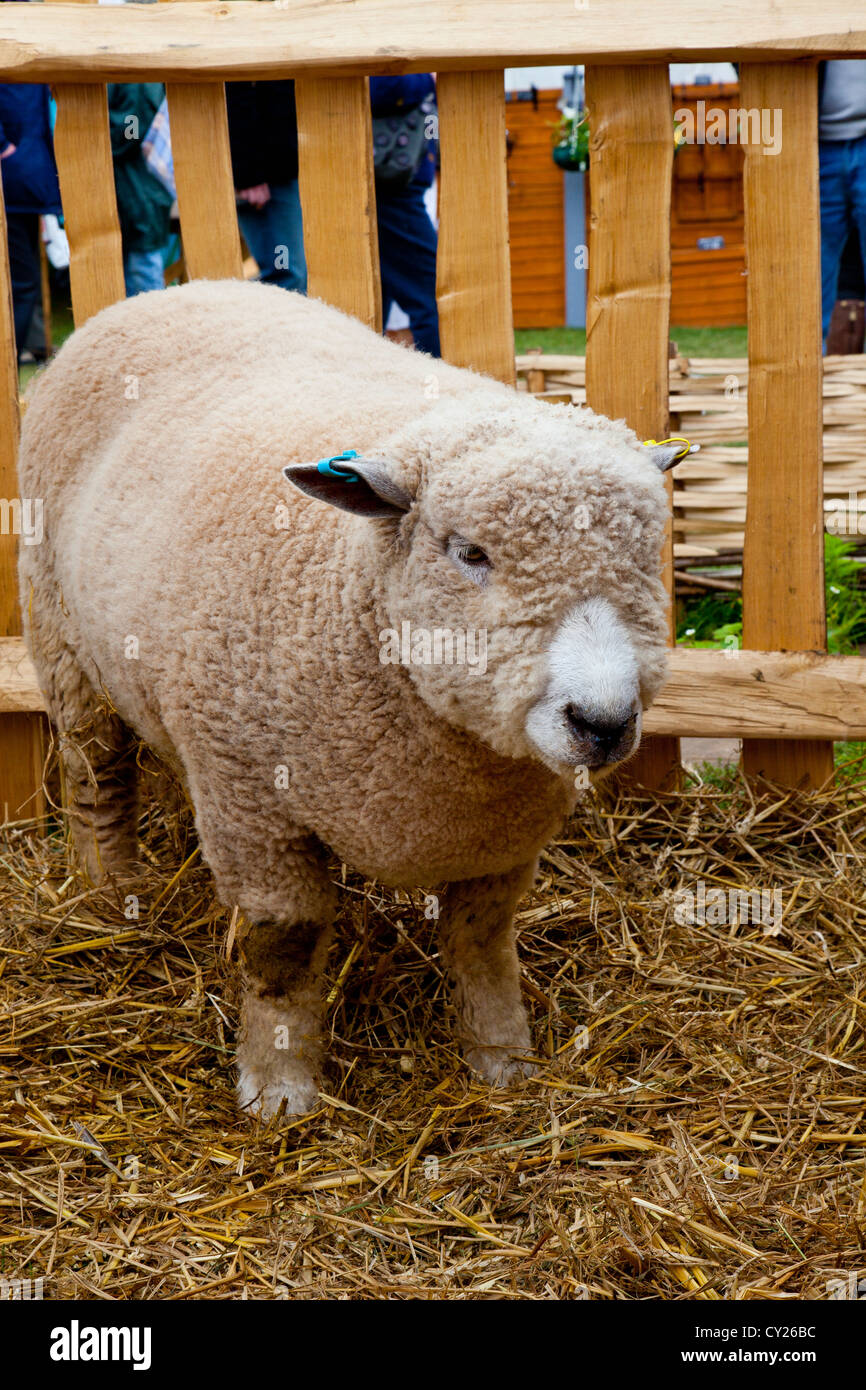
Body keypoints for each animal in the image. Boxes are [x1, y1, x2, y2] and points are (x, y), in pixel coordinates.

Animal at [20, 279, 681, 1117]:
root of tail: (172, 289)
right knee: (96, 776)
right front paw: (279, 1084)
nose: (603, 721)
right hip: (61, 640)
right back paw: (110, 895)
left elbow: (483, 941)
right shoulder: (254, 810)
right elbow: (284, 945)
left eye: (648, 555)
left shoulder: (501, 838)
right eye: (469, 553)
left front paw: (502, 1058)